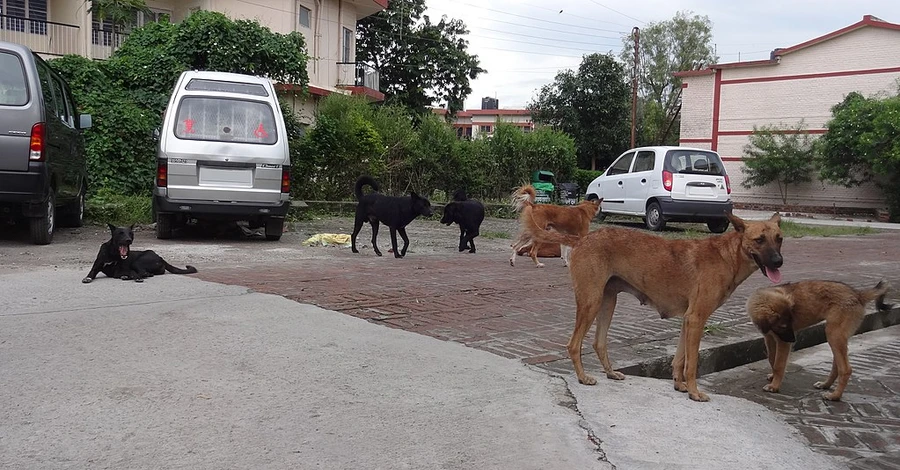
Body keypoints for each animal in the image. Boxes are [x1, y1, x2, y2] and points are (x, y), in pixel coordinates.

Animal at [524, 212, 784, 400]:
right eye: (759, 240)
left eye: (779, 239)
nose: (779, 261)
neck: (727, 255)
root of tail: (583, 238)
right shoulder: (696, 319)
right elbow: (692, 363)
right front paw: (694, 392)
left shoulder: (688, 321)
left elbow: (679, 359)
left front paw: (679, 384)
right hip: (591, 302)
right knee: (573, 344)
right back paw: (582, 377)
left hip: (607, 302)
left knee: (598, 343)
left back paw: (610, 372)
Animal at [744, 280, 892, 400]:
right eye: (783, 326)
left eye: (790, 322)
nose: (794, 340)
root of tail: (857, 294)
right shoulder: (770, 338)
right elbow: (772, 359)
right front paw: (773, 376)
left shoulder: (783, 342)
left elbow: (779, 364)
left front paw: (774, 386)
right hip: (837, 336)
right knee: (837, 366)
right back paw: (826, 385)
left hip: (833, 334)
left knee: (846, 369)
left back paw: (835, 396)